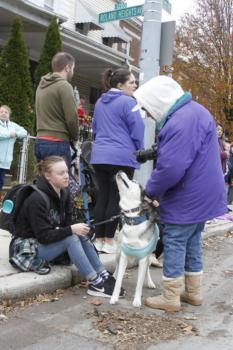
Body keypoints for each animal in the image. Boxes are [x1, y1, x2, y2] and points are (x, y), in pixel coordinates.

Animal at [110, 171, 159, 308]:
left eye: (134, 181)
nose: (120, 171)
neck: (132, 220)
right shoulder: (124, 256)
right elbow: (119, 281)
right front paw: (114, 297)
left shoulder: (143, 258)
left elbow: (139, 283)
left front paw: (137, 300)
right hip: (118, 253)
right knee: (116, 267)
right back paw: (114, 275)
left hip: (149, 257)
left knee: (147, 270)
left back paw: (150, 282)